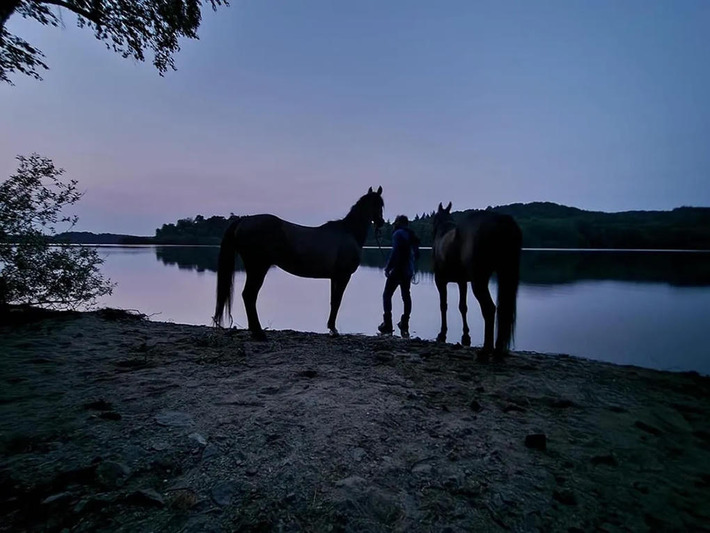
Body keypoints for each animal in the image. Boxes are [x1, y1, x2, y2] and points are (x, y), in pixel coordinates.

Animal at [214, 186, 385, 339]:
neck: (349, 232)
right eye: (378, 205)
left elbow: (333, 301)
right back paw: (259, 333)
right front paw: (334, 330)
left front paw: (331, 328)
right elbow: (337, 301)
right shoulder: (344, 276)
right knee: (249, 295)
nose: (382, 222)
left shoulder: (334, 277)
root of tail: (243, 220)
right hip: (258, 268)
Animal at [432, 201, 522, 355]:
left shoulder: (440, 281)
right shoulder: (462, 282)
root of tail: (502, 220)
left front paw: (442, 333)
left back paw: (486, 349)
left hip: (479, 281)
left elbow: (443, 306)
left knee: (489, 309)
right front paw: (466, 335)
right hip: (505, 274)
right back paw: (498, 349)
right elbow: (463, 307)